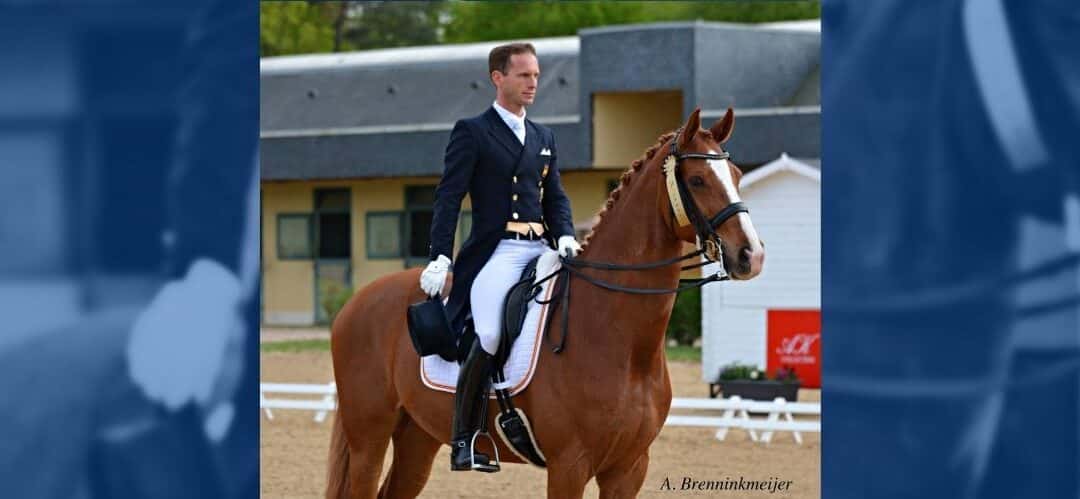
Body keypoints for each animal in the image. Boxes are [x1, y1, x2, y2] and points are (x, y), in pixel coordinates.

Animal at [324, 107, 764, 496]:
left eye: (737, 175)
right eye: (698, 179)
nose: (751, 255)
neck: (620, 340)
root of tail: (356, 302)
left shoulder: (629, 468)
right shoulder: (569, 465)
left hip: (418, 436)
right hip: (369, 438)